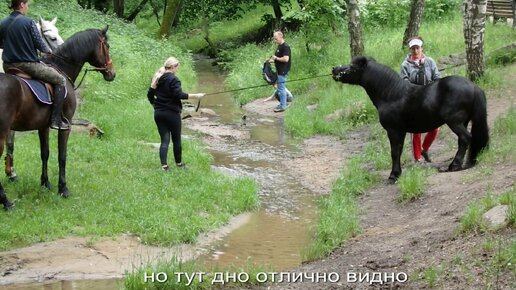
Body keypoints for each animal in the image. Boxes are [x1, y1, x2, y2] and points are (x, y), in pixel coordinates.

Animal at [0, 26, 115, 210]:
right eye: (107, 46)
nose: (112, 73)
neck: (62, 68)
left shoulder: (43, 127)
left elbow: (45, 153)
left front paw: (45, 183)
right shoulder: (65, 126)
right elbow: (62, 156)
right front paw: (63, 188)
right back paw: (6, 202)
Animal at [332, 56, 490, 181]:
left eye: (352, 67)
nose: (334, 69)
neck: (392, 95)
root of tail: (473, 86)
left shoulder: (393, 131)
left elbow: (394, 152)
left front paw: (393, 176)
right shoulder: (401, 132)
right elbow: (399, 151)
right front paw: (398, 173)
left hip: (454, 122)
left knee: (465, 138)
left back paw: (454, 165)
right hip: (463, 121)